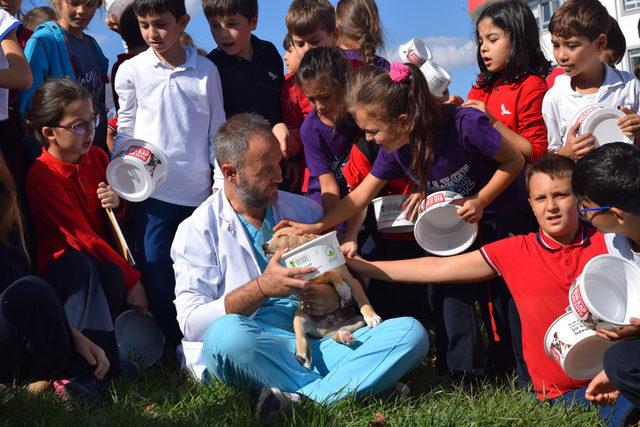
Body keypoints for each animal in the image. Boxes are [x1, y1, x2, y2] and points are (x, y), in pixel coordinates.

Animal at [262, 227, 382, 368]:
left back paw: (344, 336)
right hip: (298, 319)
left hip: (357, 320)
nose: (263, 245)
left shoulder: (353, 282)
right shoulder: (305, 283)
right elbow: (329, 272)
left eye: (282, 235)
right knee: (301, 339)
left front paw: (372, 317)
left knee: (338, 334)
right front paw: (343, 289)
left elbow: (362, 300)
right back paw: (301, 357)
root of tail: (323, 330)